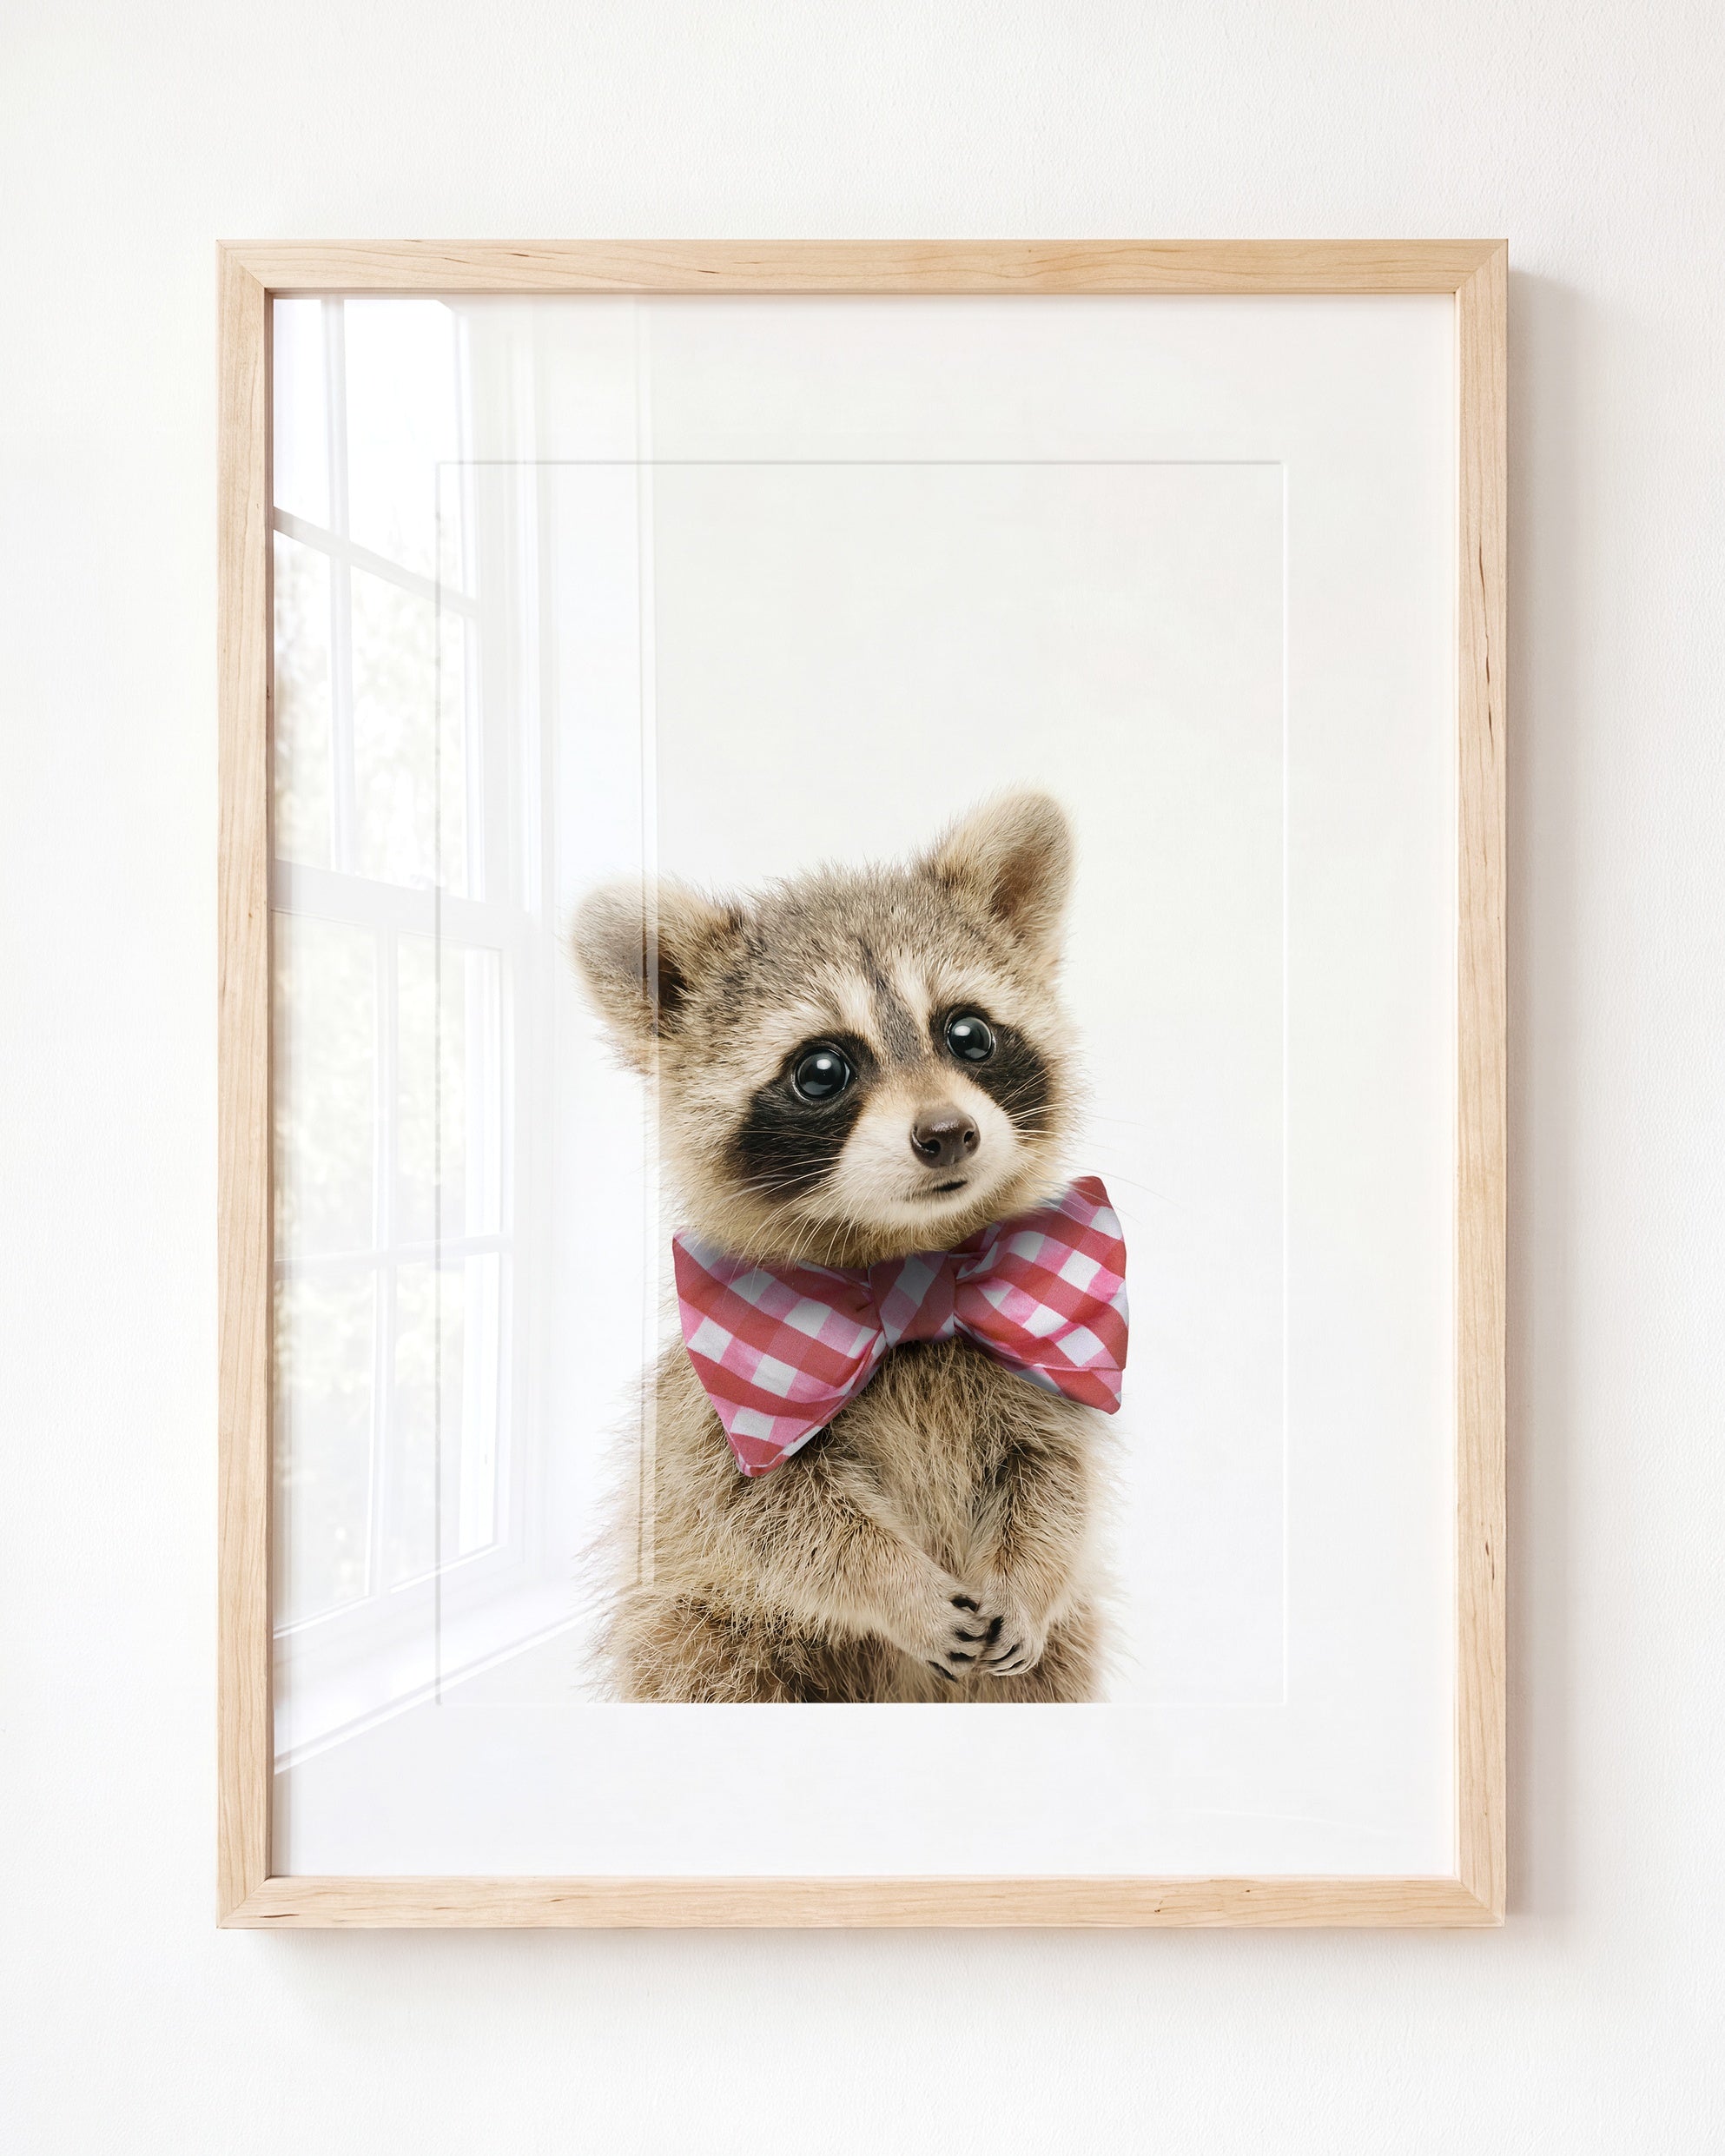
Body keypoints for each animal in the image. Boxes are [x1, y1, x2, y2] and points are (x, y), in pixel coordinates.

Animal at [571, 790, 1109, 1702]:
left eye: (969, 1034)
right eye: (822, 1070)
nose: (948, 1134)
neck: (909, 1263)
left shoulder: (1037, 1368)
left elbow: (1054, 1481)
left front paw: (1029, 1578)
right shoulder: (717, 1409)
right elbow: (773, 1519)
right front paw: (896, 1586)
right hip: (703, 1631)